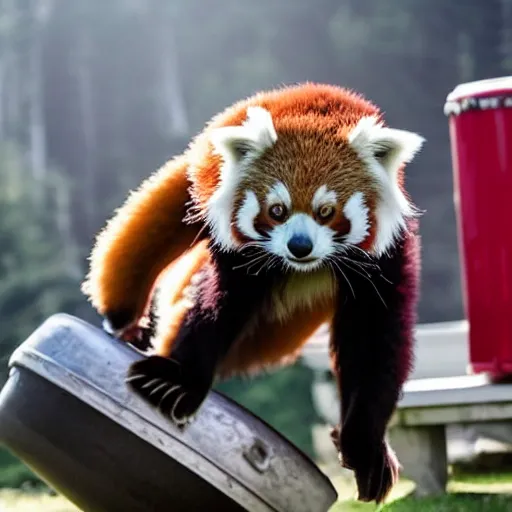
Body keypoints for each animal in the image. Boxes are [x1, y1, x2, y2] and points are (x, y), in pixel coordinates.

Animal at [83, 84, 424, 504]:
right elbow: (215, 308)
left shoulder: (382, 263)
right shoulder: (238, 256)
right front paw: (181, 380)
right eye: (277, 210)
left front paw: (367, 448)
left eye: (326, 211)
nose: (299, 246)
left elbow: (376, 344)